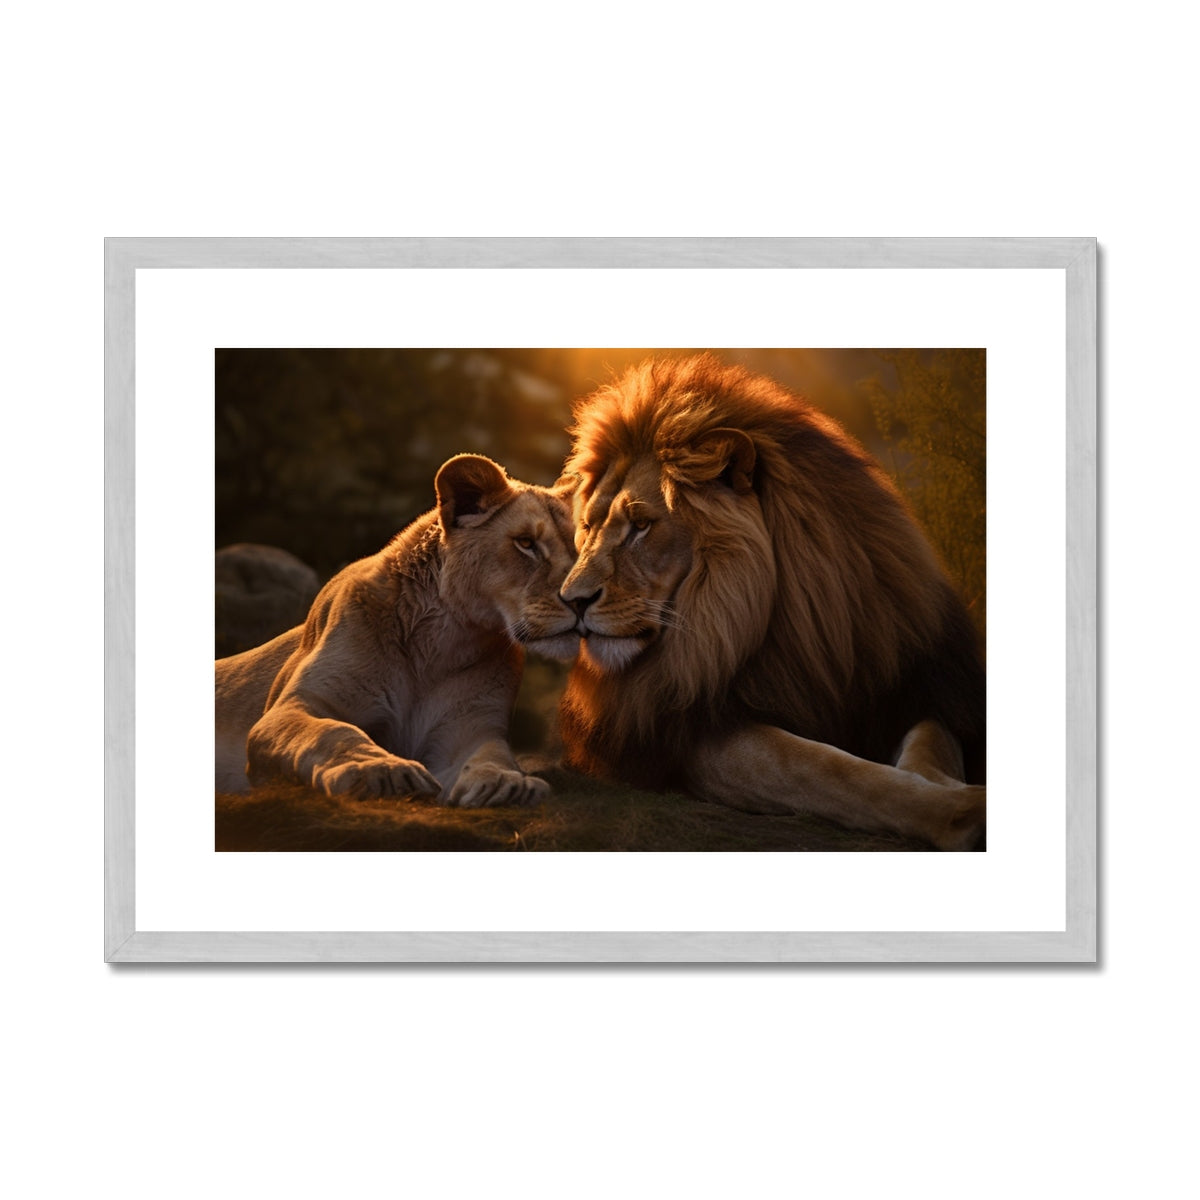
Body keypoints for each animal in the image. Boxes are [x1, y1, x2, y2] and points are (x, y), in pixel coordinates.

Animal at [215, 454, 579, 807]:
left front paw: (507, 783)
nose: (580, 599)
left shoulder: (468, 732)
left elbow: (492, 756)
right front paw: (380, 769)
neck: (442, 643)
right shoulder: (293, 708)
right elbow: (334, 733)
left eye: (583, 547)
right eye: (526, 543)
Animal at [556, 355, 987, 850]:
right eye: (588, 526)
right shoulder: (688, 729)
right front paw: (962, 810)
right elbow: (822, 769)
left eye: (642, 525)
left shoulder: (915, 687)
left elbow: (927, 745)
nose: (572, 600)